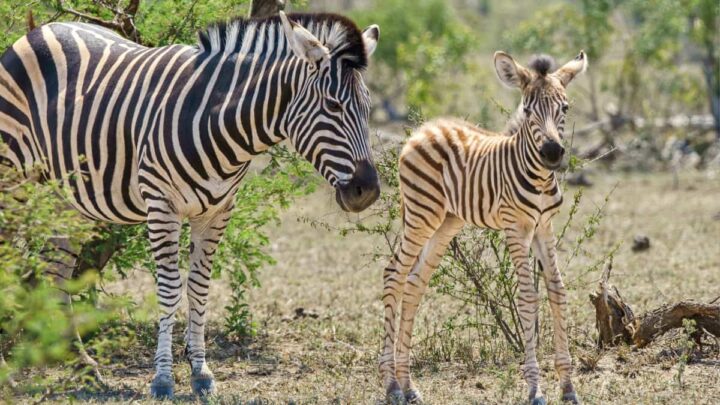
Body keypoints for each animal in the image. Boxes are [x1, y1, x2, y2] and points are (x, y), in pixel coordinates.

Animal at [0, 11, 380, 398]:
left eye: (367, 108)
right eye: (333, 105)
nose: (367, 191)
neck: (221, 123)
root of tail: (38, 30)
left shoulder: (218, 211)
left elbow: (199, 288)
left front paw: (201, 372)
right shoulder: (161, 205)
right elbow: (169, 290)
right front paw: (163, 378)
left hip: (64, 199)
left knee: (56, 273)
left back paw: (83, 367)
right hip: (12, 178)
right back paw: (9, 370)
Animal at [379, 51, 587, 405]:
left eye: (565, 107)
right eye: (527, 110)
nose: (552, 153)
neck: (538, 178)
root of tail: (423, 128)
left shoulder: (544, 227)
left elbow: (557, 291)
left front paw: (568, 386)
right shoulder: (516, 228)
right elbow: (528, 297)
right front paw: (535, 388)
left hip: (447, 222)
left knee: (415, 282)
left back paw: (408, 386)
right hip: (422, 214)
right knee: (394, 274)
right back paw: (392, 385)